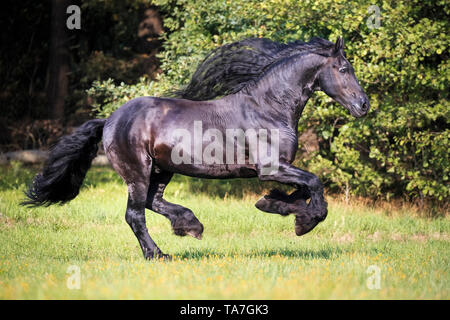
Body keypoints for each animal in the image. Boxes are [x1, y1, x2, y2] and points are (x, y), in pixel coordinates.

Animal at [22, 36, 370, 258]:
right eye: (344, 69)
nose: (364, 105)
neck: (268, 107)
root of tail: (110, 119)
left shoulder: (280, 169)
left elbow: (302, 189)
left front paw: (275, 205)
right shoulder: (271, 168)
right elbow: (314, 182)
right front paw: (304, 222)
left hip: (162, 170)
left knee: (153, 202)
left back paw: (190, 225)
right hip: (137, 172)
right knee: (135, 214)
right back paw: (158, 253)